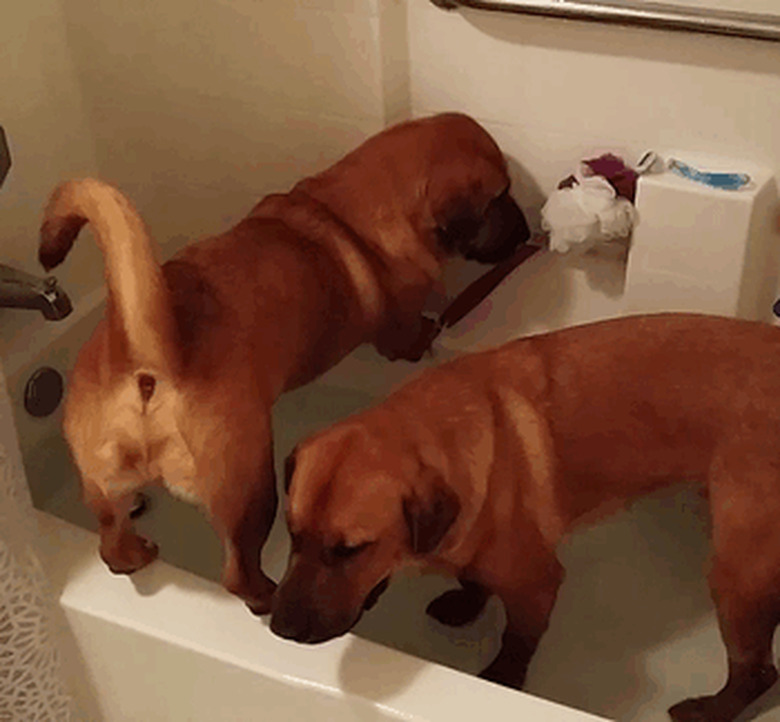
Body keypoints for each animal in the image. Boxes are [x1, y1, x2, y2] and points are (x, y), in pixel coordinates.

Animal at [41, 112, 532, 612]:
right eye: (500, 197)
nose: (528, 230)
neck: (354, 212)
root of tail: (147, 356)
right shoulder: (398, 331)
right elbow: (413, 332)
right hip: (250, 489)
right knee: (238, 572)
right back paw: (266, 597)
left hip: (103, 487)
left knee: (111, 542)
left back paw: (136, 552)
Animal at [272, 314, 780, 720]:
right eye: (293, 534)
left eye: (351, 550)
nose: (280, 629)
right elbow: (473, 580)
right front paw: (466, 602)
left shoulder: (538, 583)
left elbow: (517, 641)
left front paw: (502, 680)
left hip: (737, 577)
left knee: (756, 672)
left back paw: (709, 710)